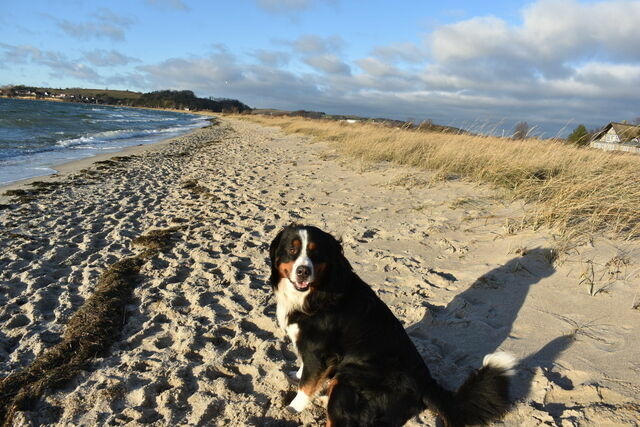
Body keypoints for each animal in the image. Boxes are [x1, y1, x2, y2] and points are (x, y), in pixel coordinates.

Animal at [268, 226, 516, 426]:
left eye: (315, 252)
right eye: (292, 250)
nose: (303, 271)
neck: (315, 294)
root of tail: (426, 384)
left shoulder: (318, 350)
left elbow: (307, 385)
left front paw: (293, 407)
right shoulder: (309, 349)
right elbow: (306, 370)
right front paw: (296, 374)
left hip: (349, 380)